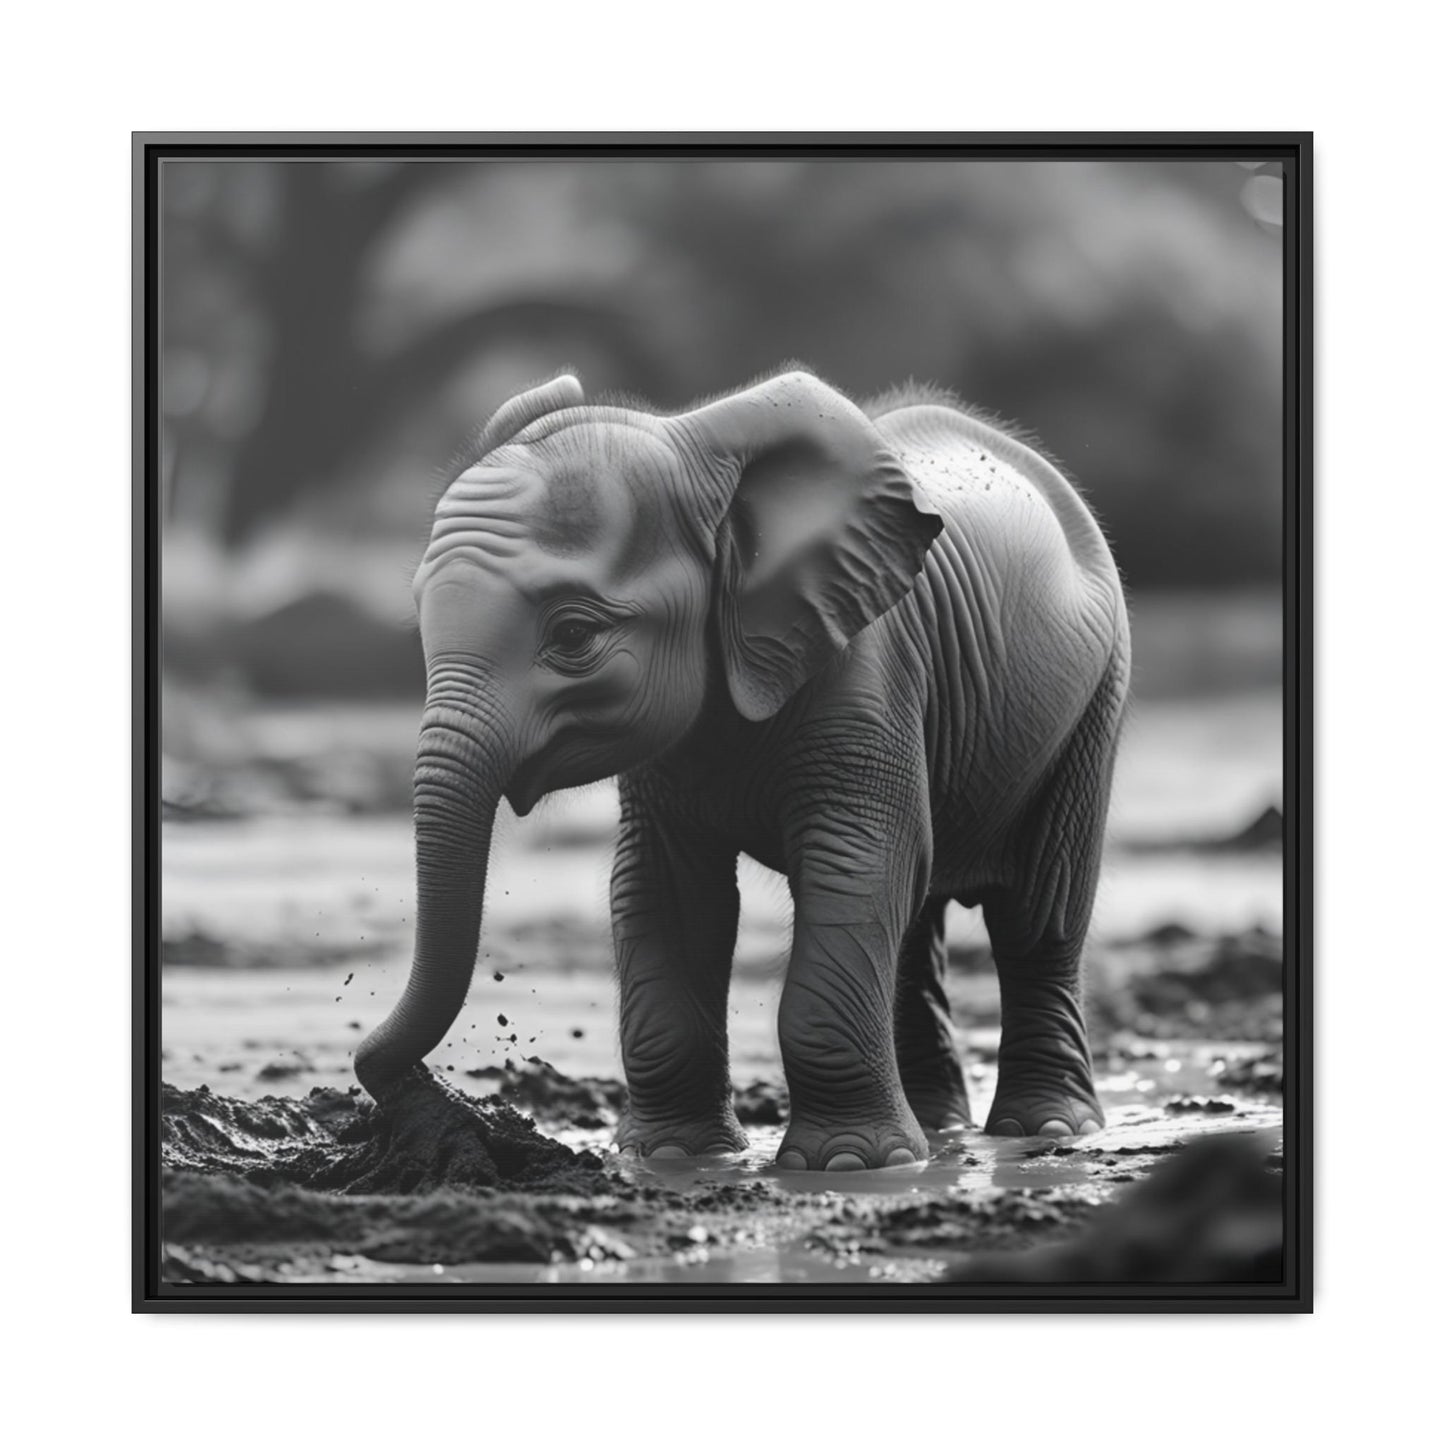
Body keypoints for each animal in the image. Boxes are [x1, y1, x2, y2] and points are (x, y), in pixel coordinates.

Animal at [355, 367, 1131, 1172]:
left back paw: (1045, 1129)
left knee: (1037, 913)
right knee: (918, 922)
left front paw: (847, 1164)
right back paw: (938, 1132)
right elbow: (665, 890)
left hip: (1094, 697)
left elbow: (855, 862)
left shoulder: (867, 669)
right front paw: (672, 1156)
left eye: (572, 634)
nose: (415, 1089)